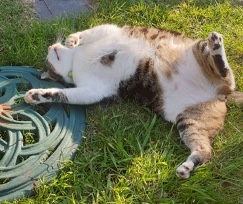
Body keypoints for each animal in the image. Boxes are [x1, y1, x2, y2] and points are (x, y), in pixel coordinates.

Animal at [23, 24, 243, 178]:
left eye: (47, 61)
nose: (50, 46)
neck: (77, 61)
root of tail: (222, 93)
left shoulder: (111, 31)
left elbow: (90, 31)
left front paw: (72, 39)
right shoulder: (92, 89)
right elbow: (63, 94)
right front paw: (36, 95)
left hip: (197, 48)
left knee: (225, 72)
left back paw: (216, 44)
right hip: (189, 120)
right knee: (204, 150)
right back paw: (186, 168)